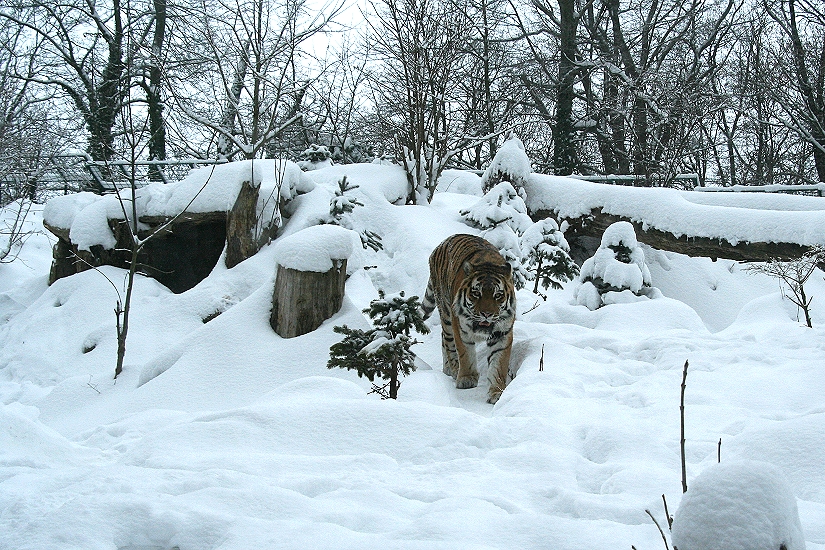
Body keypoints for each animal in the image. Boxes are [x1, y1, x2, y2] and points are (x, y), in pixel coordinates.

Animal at [422, 234, 512, 406]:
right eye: (477, 293)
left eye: (498, 295)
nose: (486, 314)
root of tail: (440, 245)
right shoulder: (460, 327)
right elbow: (465, 353)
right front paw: (466, 379)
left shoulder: (502, 333)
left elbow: (499, 363)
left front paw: (497, 392)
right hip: (446, 315)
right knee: (448, 343)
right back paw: (453, 369)